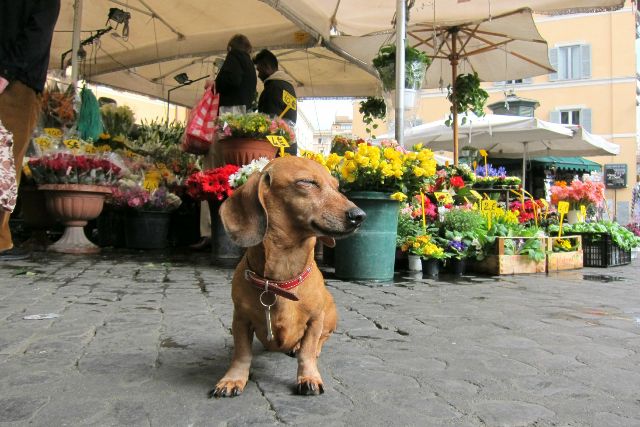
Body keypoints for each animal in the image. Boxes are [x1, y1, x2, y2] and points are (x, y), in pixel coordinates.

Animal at [211, 156, 364, 398]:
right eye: (307, 182)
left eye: (337, 187)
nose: (360, 216)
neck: (280, 281)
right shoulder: (240, 320)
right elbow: (242, 353)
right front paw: (233, 379)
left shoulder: (315, 321)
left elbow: (307, 351)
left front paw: (309, 377)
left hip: (329, 316)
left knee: (321, 340)